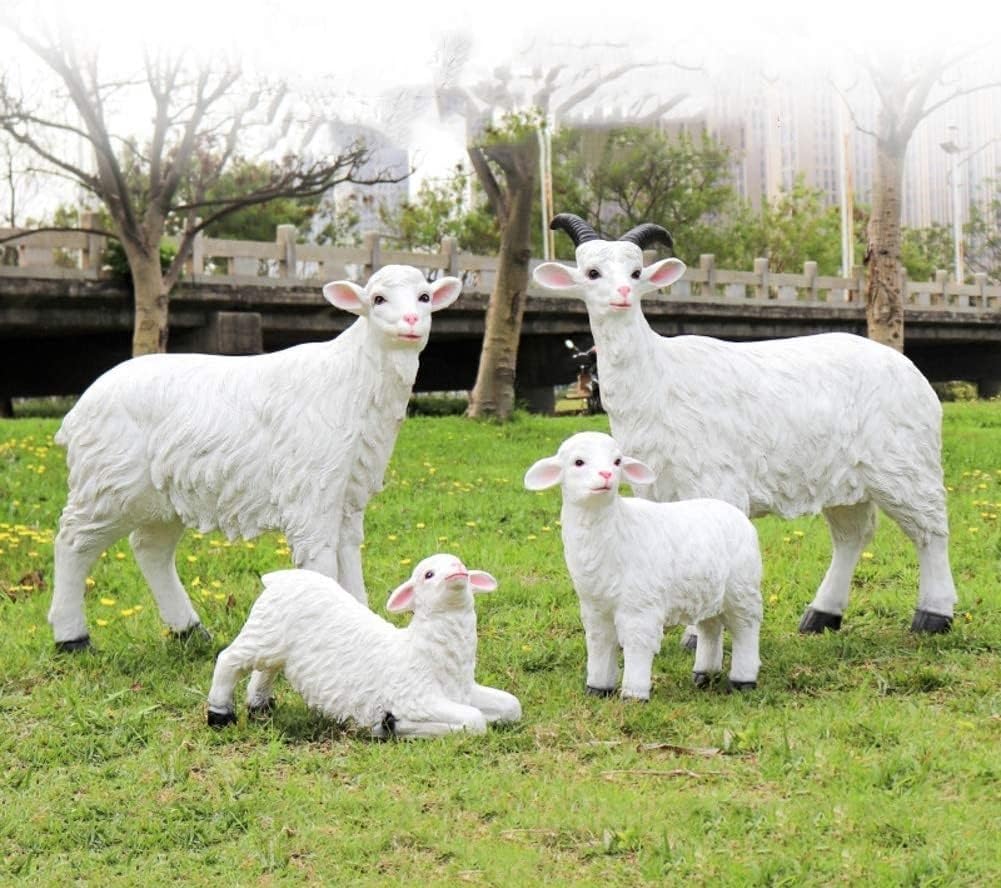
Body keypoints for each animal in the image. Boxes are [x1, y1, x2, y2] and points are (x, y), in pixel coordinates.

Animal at [49, 265, 462, 651]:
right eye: (377, 299)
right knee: (73, 541)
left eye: (424, 297)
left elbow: (348, 557)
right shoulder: (310, 487)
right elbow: (321, 560)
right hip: (109, 480)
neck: (355, 377)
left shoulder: (348, 489)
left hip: (162, 494)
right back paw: (72, 638)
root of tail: (77, 411)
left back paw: (190, 631)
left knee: (150, 549)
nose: (411, 322)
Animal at [205, 553, 523, 737]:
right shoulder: (415, 697)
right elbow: (475, 722)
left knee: (266, 669)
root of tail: (280, 578)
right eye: (428, 574)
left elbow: (512, 706)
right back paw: (220, 714)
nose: (458, 570)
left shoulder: (463, 691)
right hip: (262, 631)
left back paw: (260, 706)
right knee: (229, 660)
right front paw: (391, 725)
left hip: (276, 641)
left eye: (463, 566)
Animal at [525, 432, 762, 698]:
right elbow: (599, 643)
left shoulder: (640, 605)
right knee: (710, 627)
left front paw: (634, 694)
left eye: (617, 461)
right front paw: (597, 688)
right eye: (578, 462)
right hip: (707, 590)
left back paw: (743, 680)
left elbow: (637, 644)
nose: (606, 475)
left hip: (742, 587)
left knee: (745, 628)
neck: (618, 528)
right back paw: (704, 674)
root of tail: (737, 514)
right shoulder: (595, 606)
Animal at [533, 214, 958, 639]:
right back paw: (821, 614)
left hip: (904, 462)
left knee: (931, 529)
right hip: (845, 476)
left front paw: (696, 637)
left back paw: (933, 616)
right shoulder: (656, 485)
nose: (621, 294)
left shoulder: (715, 478)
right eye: (591, 273)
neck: (659, 374)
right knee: (853, 535)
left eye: (636, 272)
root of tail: (914, 374)